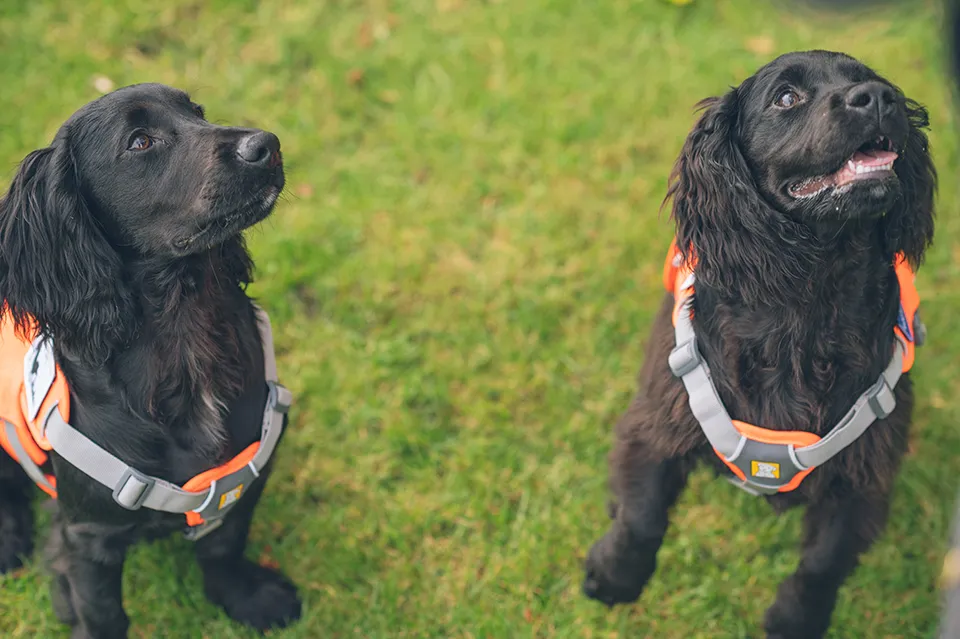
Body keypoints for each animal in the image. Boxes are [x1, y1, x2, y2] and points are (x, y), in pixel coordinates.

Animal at [580, 51, 932, 639]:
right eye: (785, 98)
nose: (879, 97)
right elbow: (642, 516)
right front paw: (614, 577)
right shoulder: (656, 422)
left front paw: (795, 620)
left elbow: (822, 562)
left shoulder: (863, 473)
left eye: (874, 79)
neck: (806, 301)